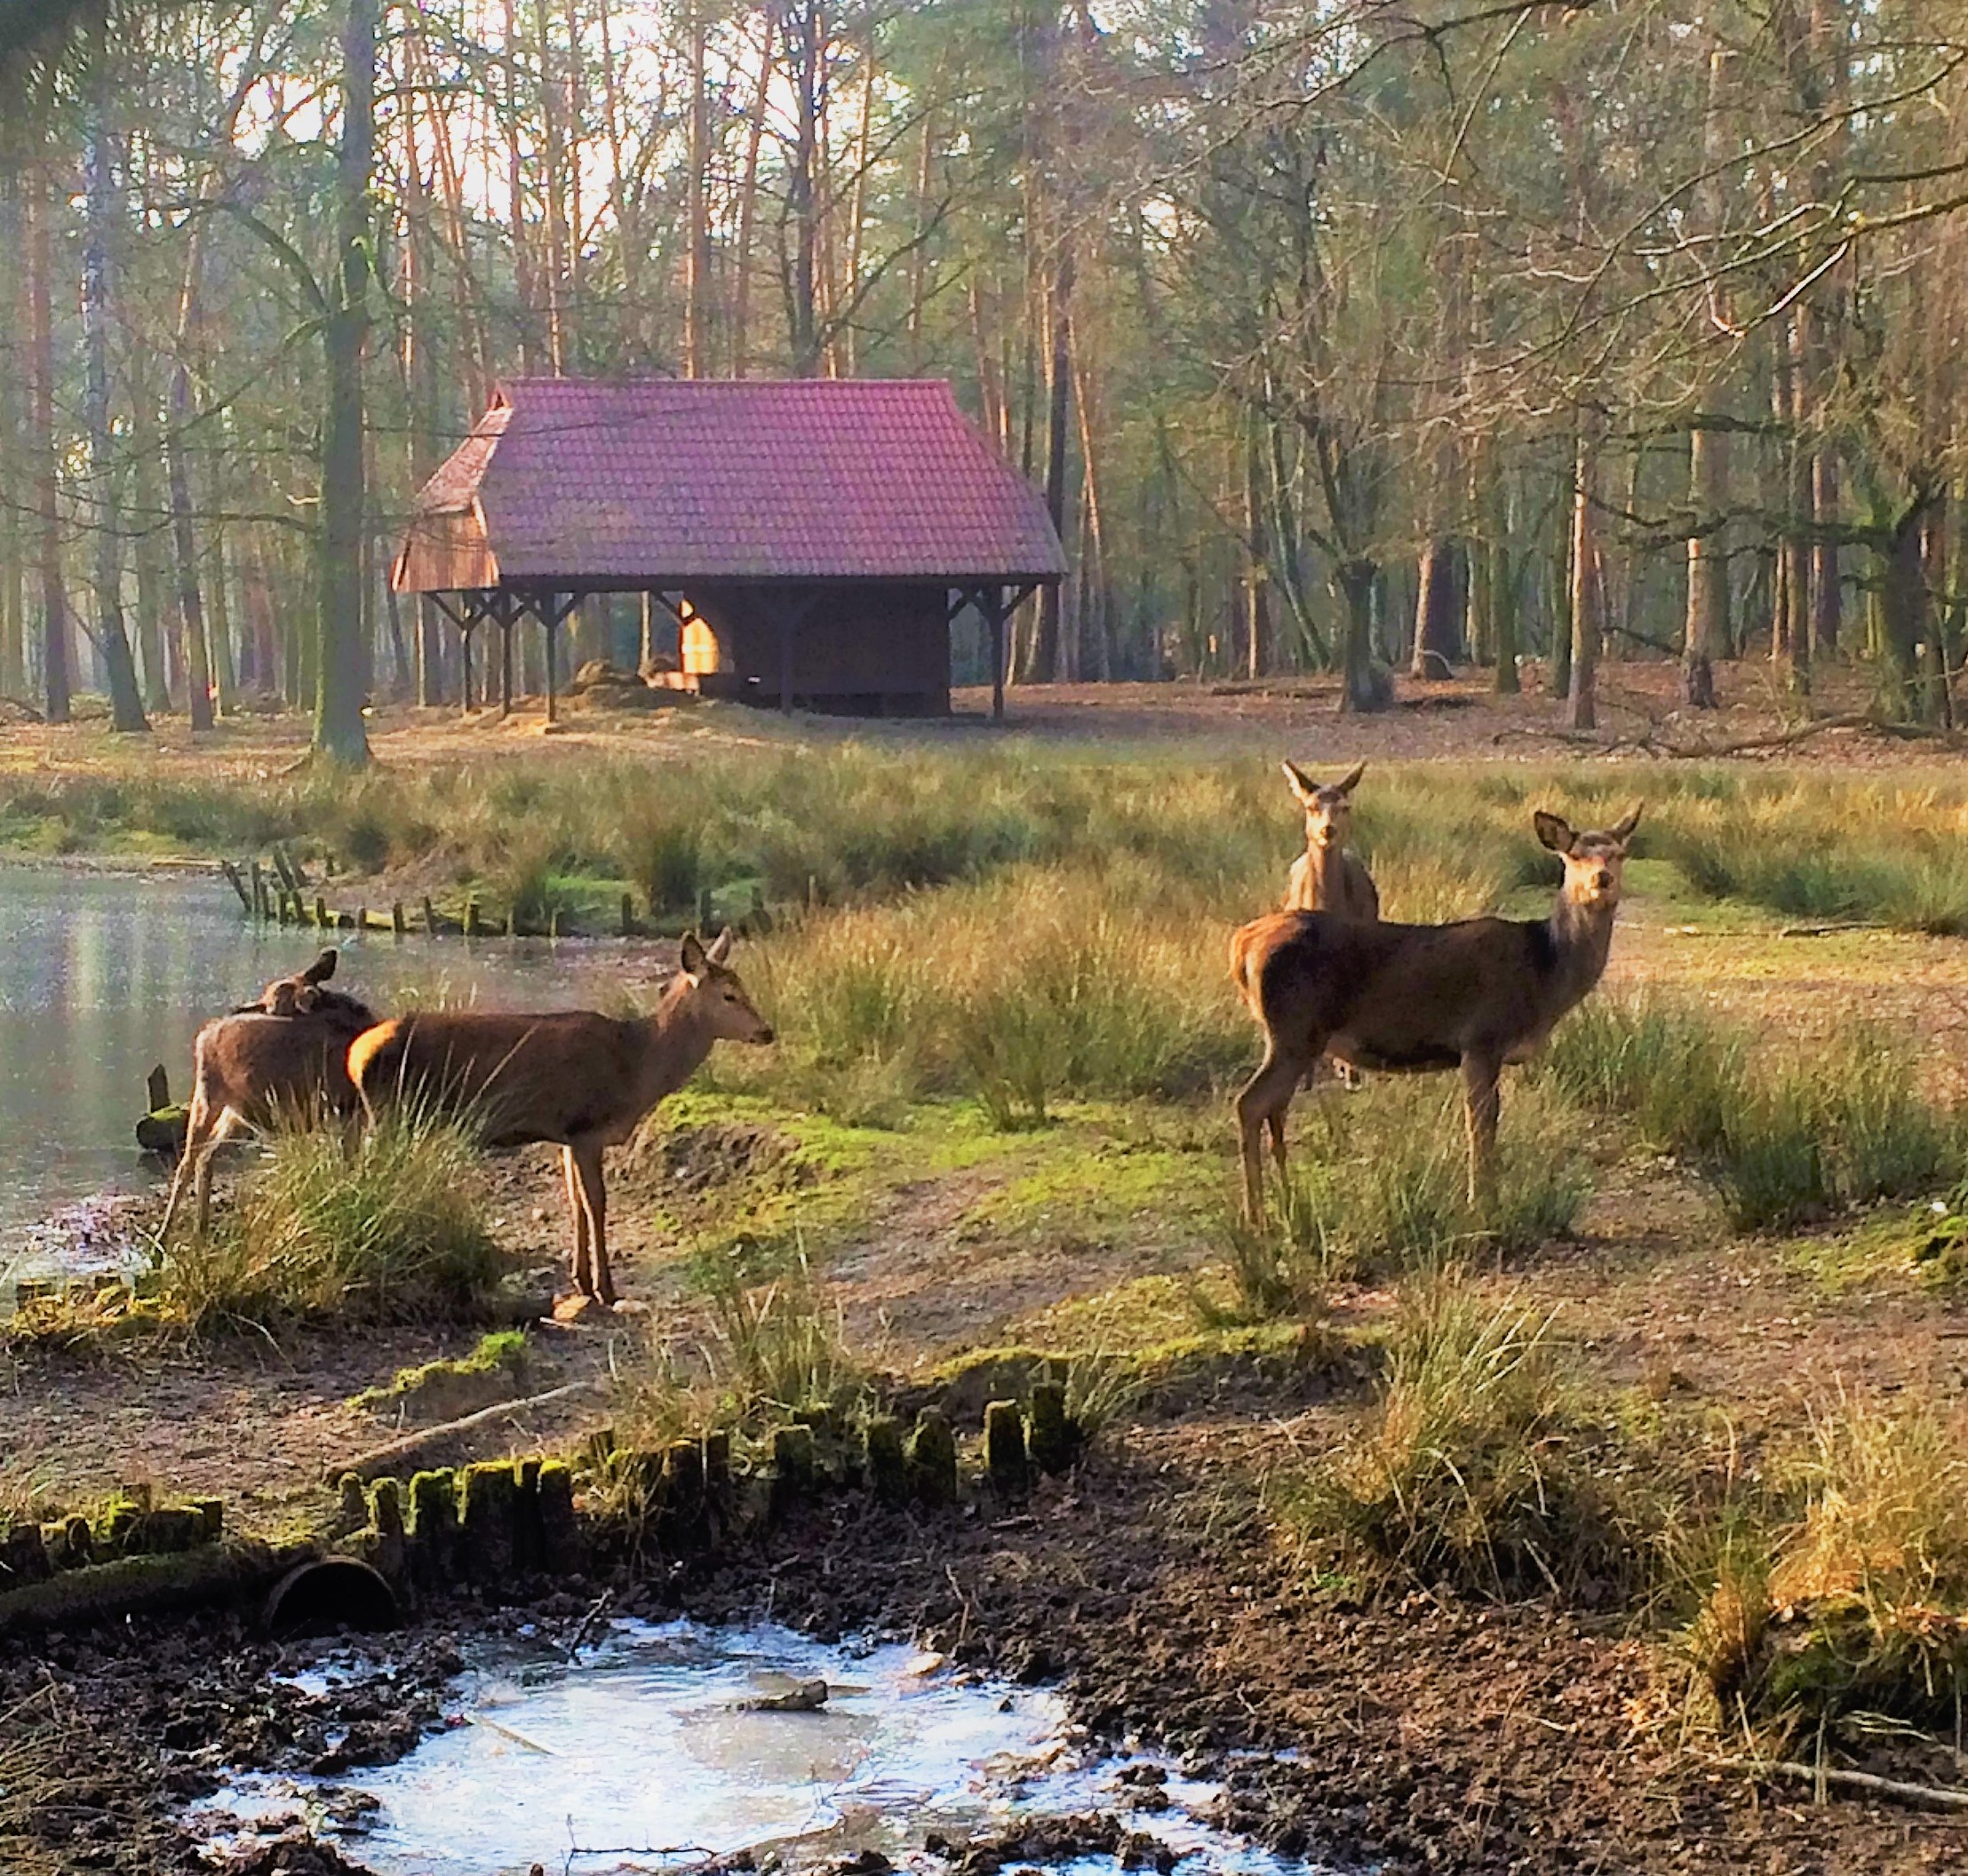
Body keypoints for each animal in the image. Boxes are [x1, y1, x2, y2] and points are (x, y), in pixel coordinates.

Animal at [159, 952, 378, 1244]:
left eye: (273, 1001)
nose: (239, 1007)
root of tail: (204, 1034)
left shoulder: (350, 1112)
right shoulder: (344, 1111)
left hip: (236, 1112)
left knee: (205, 1157)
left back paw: (200, 1230)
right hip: (207, 1096)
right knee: (187, 1161)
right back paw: (163, 1237)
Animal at [350, 921, 779, 1299]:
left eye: (743, 987)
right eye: (729, 995)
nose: (767, 1031)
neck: (635, 1068)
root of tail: (355, 1056)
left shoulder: (566, 1135)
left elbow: (575, 1203)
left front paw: (582, 1280)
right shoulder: (587, 1126)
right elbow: (596, 1203)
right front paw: (606, 1287)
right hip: (391, 1115)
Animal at [1228, 803, 1645, 1212]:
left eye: (1619, 854)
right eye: (1574, 855)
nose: (1602, 879)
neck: (1546, 972)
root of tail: (1241, 944)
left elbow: (1488, 1124)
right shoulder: (1481, 1037)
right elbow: (1481, 1125)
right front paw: (1481, 1203)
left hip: (1290, 1036)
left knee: (1275, 1107)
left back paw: (1287, 1200)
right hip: (1295, 1029)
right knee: (1250, 1103)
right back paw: (1256, 1217)